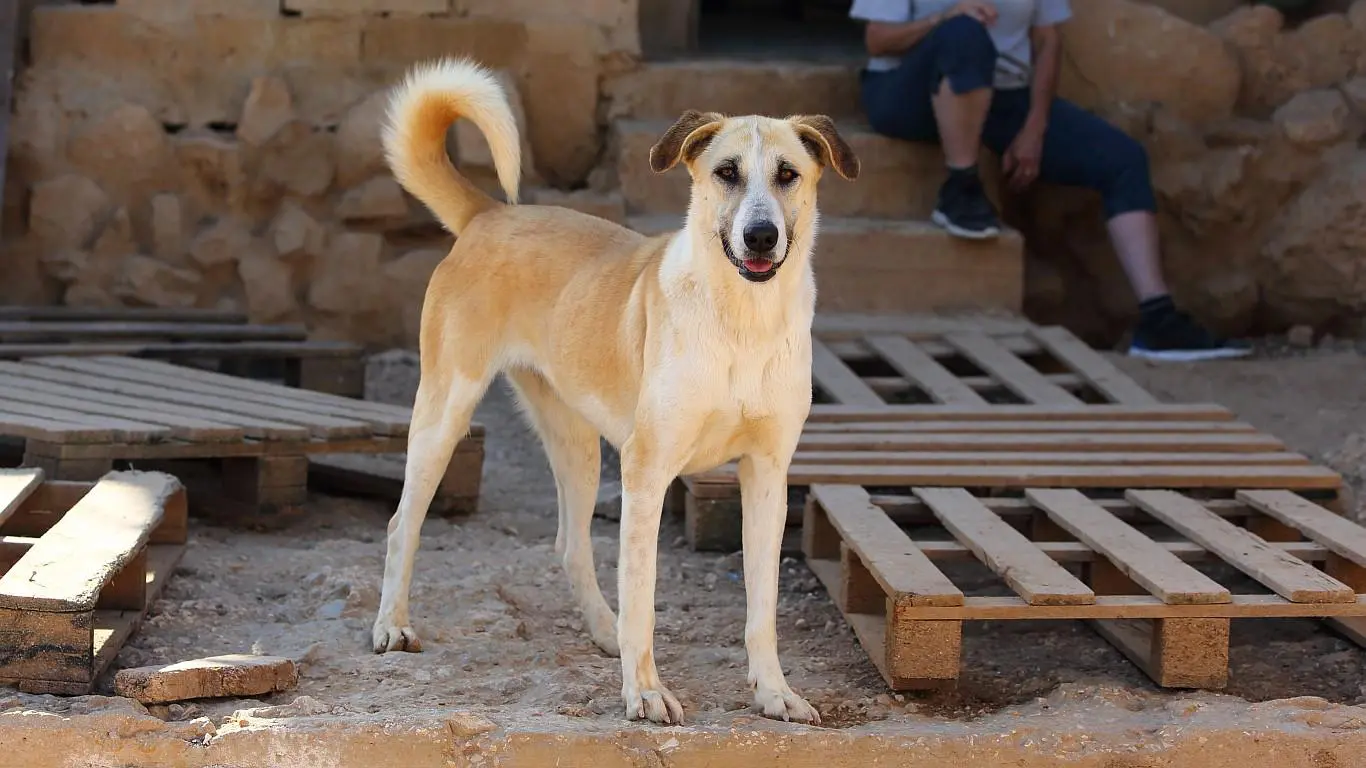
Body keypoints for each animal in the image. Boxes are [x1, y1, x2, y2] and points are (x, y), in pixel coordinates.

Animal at [370, 57, 859, 725]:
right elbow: (644, 596)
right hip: (445, 412)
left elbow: (762, 607)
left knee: (570, 545)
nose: (760, 236)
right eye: (726, 172)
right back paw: (392, 626)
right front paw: (645, 692)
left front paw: (774, 692)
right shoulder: (646, 470)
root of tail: (490, 215)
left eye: (788, 174)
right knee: (403, 523)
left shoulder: (767, 474)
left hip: (577, 446)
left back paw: (605, 630)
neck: (741, 322)